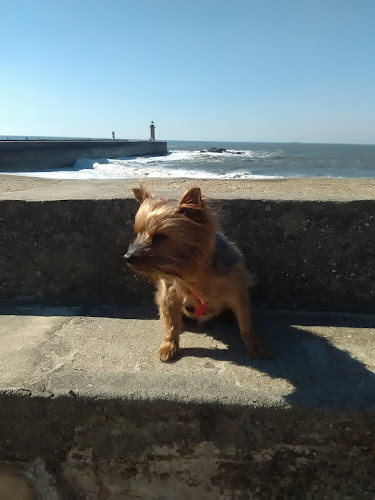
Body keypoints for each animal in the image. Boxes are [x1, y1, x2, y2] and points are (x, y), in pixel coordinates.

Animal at [125, 186, 272, 362]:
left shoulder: (238, 291)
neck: (194, 272)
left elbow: (246, 325)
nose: (127, 257)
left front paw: (256, 348)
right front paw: (169, 346)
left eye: (159, 236)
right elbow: (171, 324)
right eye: (137, 232)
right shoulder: (169, 294)